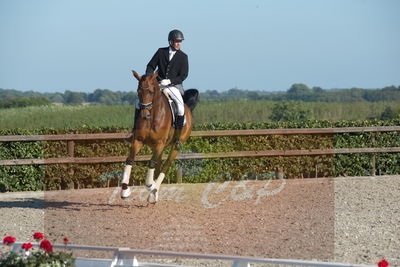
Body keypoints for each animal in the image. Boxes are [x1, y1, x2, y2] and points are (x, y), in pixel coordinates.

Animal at [120, 70, 197, 204]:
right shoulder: (138, 141)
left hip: (175, 146)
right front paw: (125, 190)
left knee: (165, 165)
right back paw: (153, 193)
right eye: (138, 91)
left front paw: (149, 185)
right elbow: (130, 159)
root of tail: (187, 108)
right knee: (158, 164)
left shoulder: (159, 143)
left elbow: (151, 162)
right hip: (159, 147)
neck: (153, 116)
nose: (145, 115)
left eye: (151, 92)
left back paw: (154, 189)